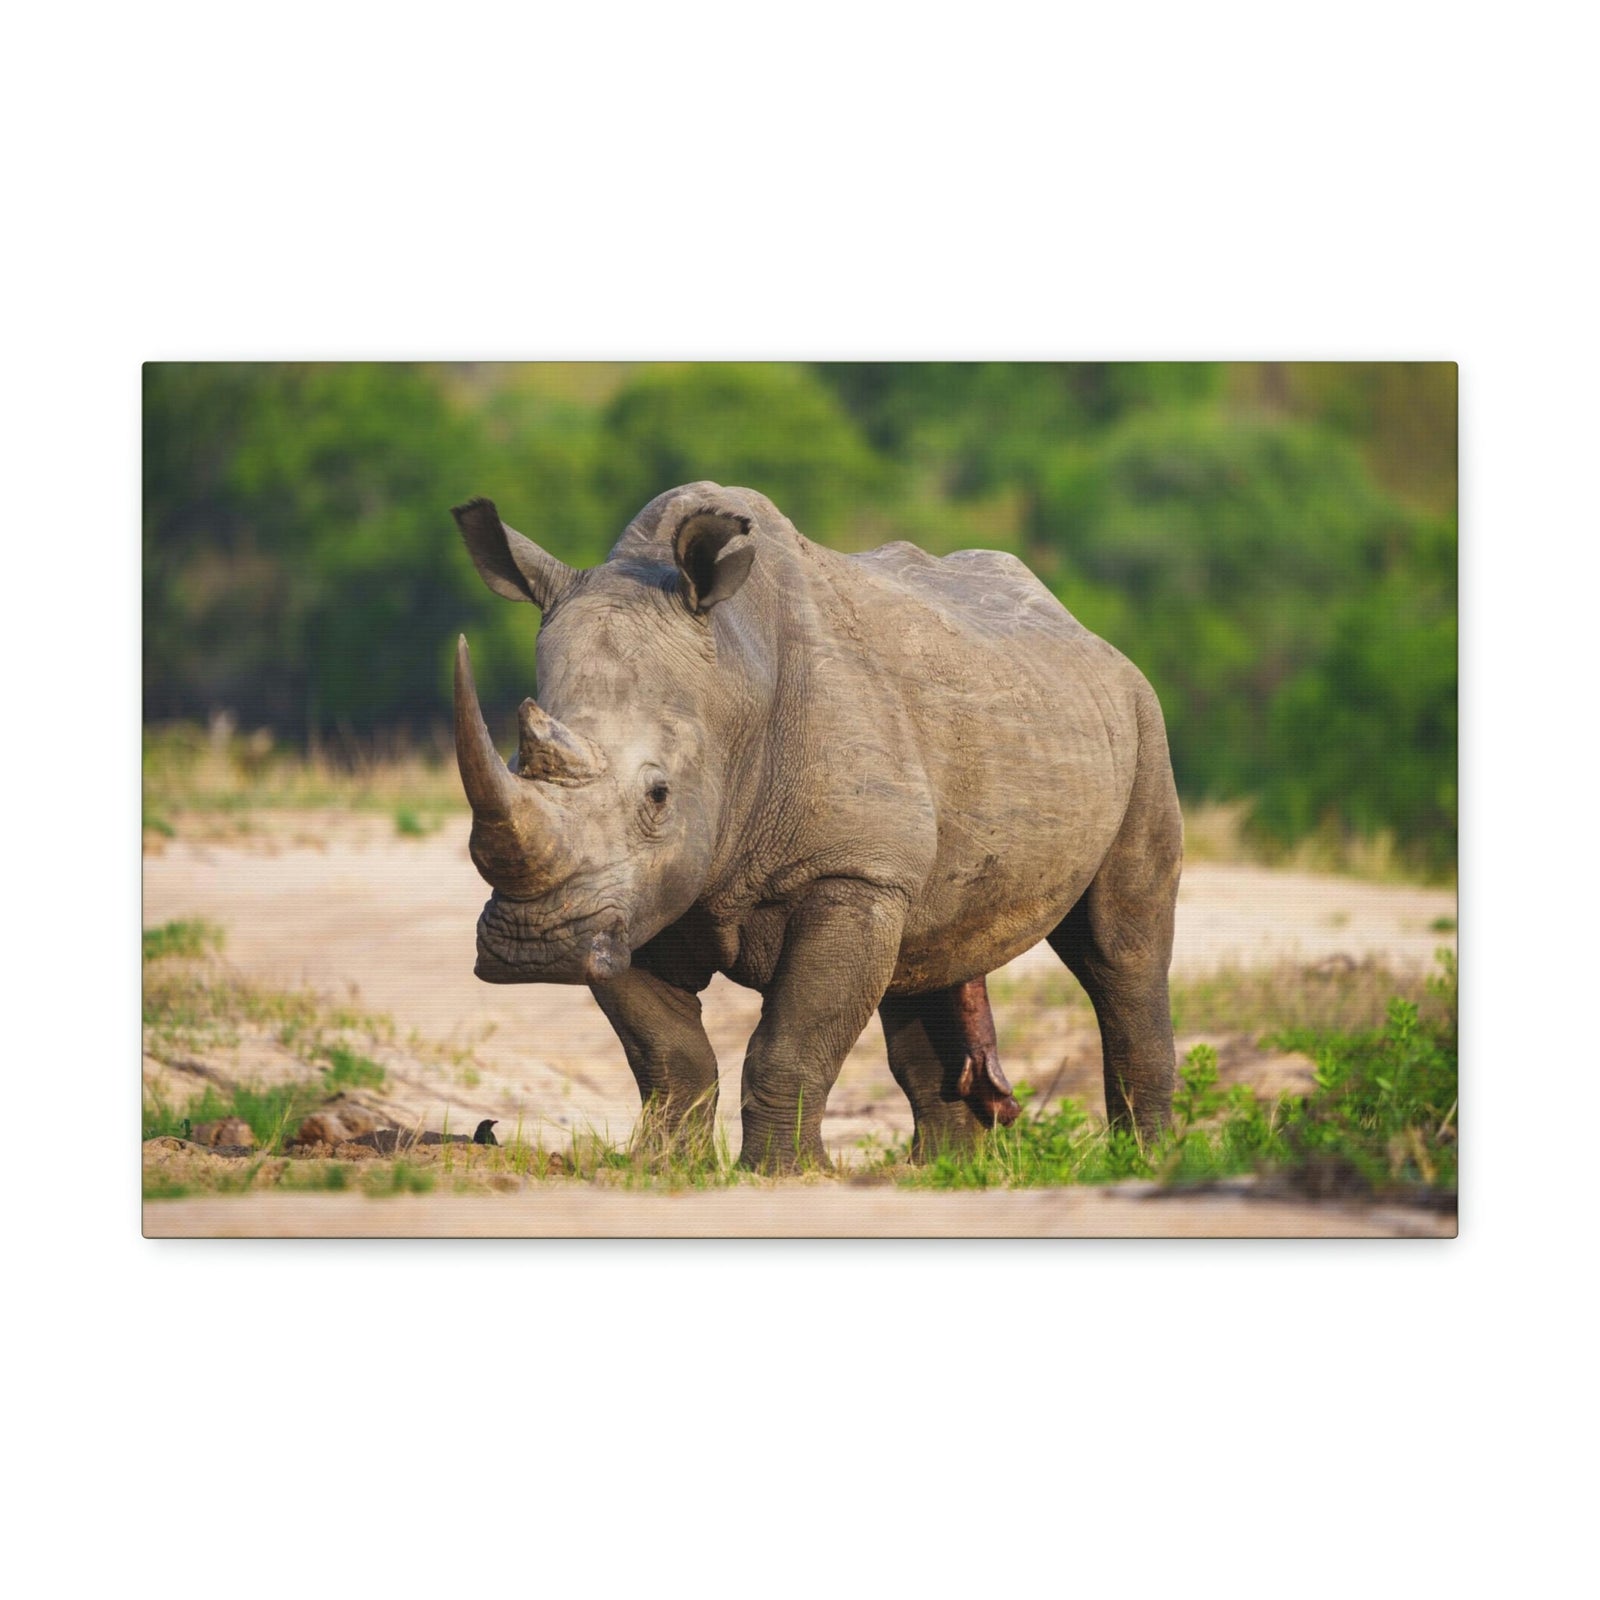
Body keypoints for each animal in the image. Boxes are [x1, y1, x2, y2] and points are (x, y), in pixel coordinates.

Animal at [452, 483, 1182, 1170]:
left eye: (659, 796)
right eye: (515, 765)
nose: (533, 945)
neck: (734, 685)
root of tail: (1083, 631)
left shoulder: (850, 872)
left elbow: (793, 1041)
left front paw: (783, 1174)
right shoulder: (620, 901)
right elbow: (669, 1055)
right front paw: (664, 1169)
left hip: (1140, 716)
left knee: (1121, 949)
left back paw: (1142, 1158)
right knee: (925, 956)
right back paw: (939, 1169)